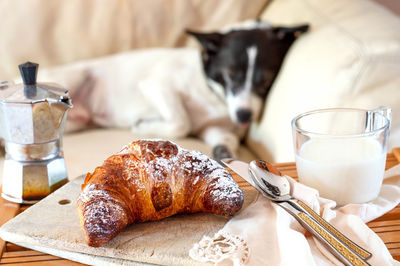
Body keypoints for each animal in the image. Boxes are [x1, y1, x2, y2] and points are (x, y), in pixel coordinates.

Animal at [38, 19, 310, 161]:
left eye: (267, 80)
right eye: (231, 73)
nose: (244, 116)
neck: (214, 95)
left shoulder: (215, 128)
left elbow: (225, 139)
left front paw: (225, 152)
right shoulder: (158, 85)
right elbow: (182, 122)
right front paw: (143, 125)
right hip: (69, 82)